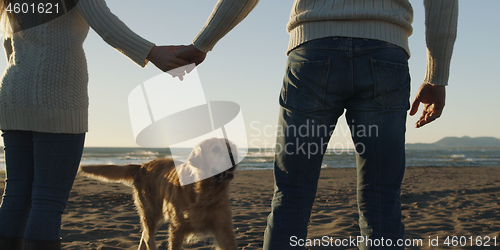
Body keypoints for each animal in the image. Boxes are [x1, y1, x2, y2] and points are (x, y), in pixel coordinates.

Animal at [79, 139, 238, 250]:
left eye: (232, 148)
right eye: (215, 149)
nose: (234, 157)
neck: (203, 191)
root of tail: (142, 165)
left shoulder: (223, 228)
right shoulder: (177, 229)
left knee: (144, 235)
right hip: (151, 212)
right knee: (148, 238)